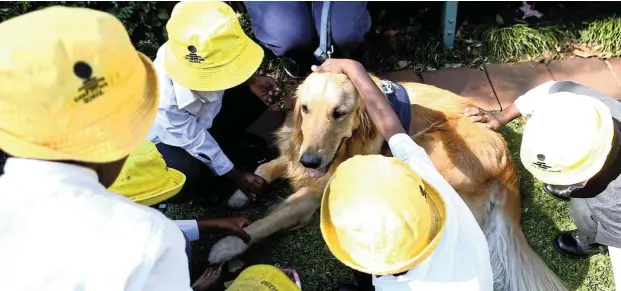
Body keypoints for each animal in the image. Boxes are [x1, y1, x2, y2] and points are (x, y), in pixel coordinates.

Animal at [211, 72, 568, 290]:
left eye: (339, 113)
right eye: (305, 109)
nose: (311, 161)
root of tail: (509, 171)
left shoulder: (314, 191)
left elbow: (271, 219)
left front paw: (227, 246)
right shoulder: (296, 151)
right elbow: (272, 165)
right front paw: (245, 189)